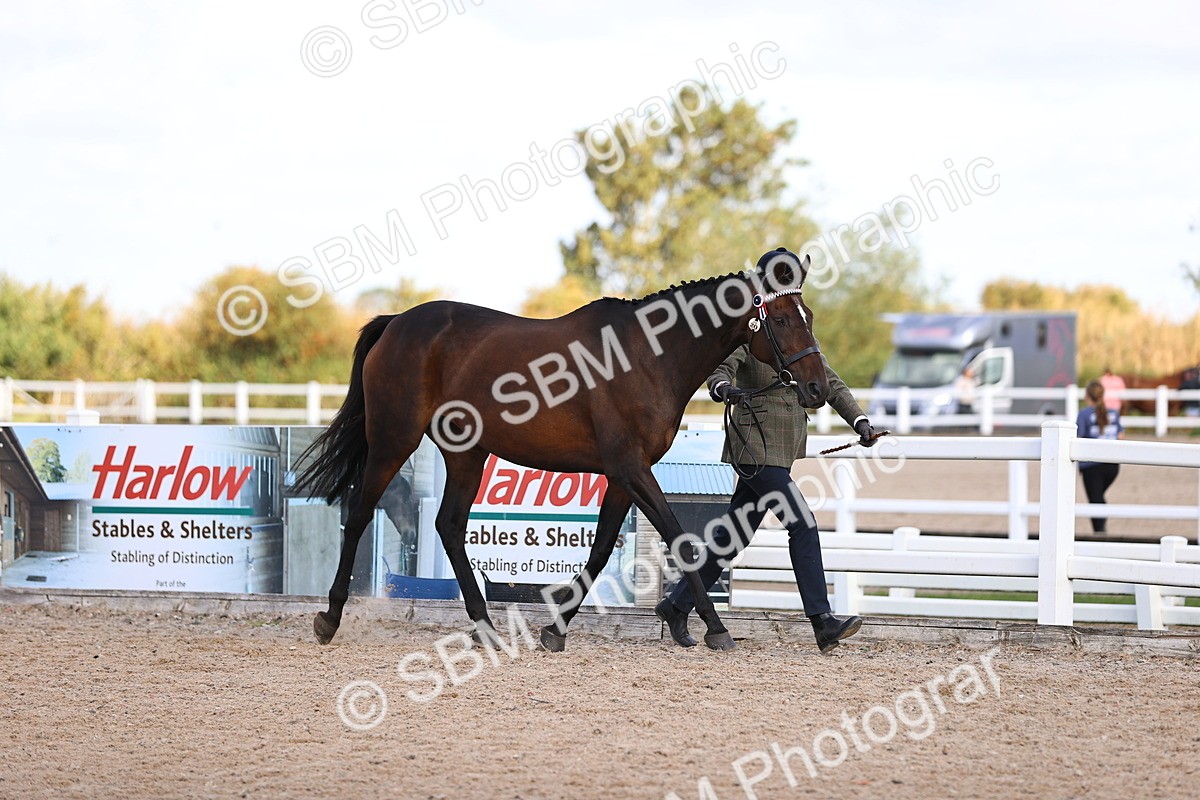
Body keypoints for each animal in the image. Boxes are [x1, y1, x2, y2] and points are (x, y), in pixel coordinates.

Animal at [293, 249, 829, 652]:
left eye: (810, 317)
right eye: (783, 319)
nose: (818, 388)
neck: (646, 355)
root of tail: (396, 323)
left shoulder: (623, 474)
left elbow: (601, 548)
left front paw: (555, 631)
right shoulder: (632, 468)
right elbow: (679, 538)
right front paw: (716, 630)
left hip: (467, 453)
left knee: (447, 525)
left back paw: (486, 628)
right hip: (393, 440)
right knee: (361, 512)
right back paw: (330, 617)